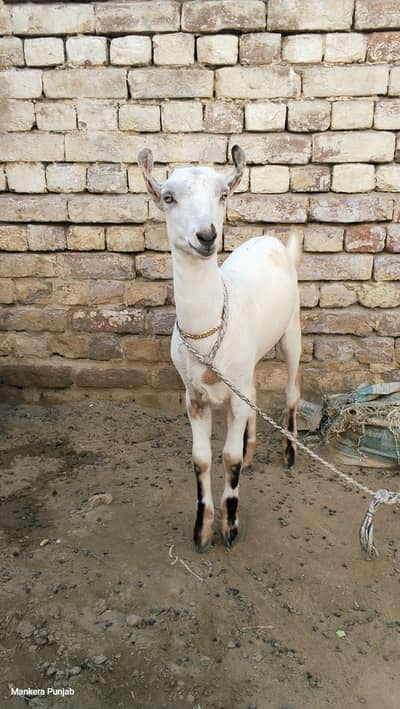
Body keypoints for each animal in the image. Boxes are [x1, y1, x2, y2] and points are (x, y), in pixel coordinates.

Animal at [138, 145, 302, 552]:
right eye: (168, 197)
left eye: (223, 195)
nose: (206, 235)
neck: (207, 332)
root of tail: (274, 242)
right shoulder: (193, 395)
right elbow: (201, 459)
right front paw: (203, 529)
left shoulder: (234, 391)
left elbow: (228, 458)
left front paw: (231, 526)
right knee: (256, 391)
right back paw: (252, 448)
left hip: (292, 328)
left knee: (291, 388)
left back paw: (289, 451)